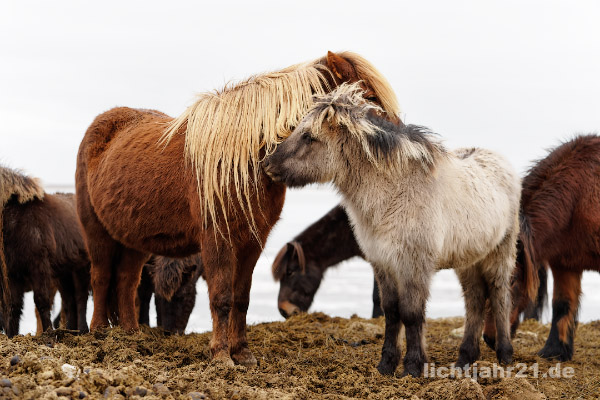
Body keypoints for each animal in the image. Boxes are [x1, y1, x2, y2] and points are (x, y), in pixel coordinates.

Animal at [0, 167, 90, 336]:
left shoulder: (39, 268)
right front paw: (12, 335)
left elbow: (41, 301)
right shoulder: (12, 273)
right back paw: (70, 330)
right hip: (64, 272)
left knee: (81, 297)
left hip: (81, 267)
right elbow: (13, 306)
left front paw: (48, 334)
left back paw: (82, 330)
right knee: (69, 300)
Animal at [77, 50, 400, 366]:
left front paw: (242, 353)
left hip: (133, 239)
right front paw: (221, 357)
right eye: (365, 97)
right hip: (95, 231)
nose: (395, 143)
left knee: (126, 280)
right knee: (102, 276)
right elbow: (221, 297)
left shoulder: (252, 242)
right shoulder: (217, 240)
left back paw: (131, 335)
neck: (243, 157)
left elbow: (241, 298)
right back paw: (99, 332)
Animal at [262, 83, 520, 376]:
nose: (267, 165)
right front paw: (386, 364)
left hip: (500, 253)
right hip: (469, 260)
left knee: (500, 297)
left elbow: (411, 313)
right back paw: (464, 359)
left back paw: (505, 354)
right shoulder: (382, 263)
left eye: (308, 136)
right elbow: (391, 311)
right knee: (475, 300)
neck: (394, 194)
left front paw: (413, 366)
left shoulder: (413, 264)